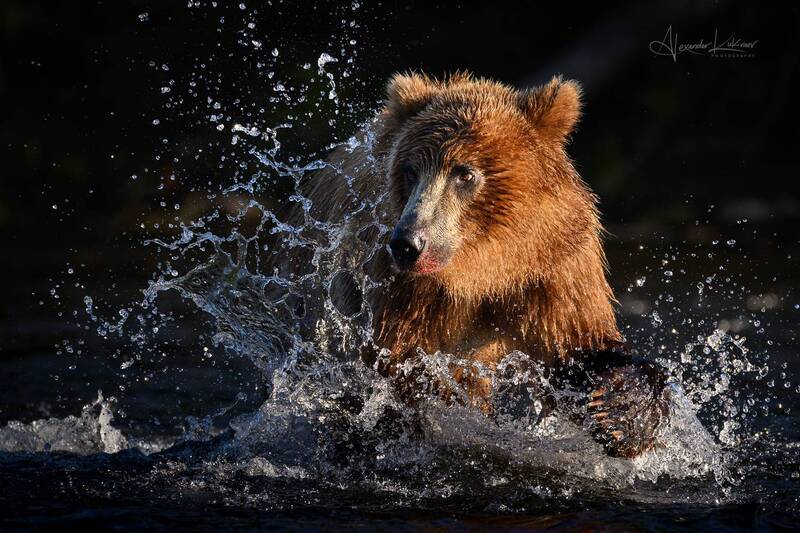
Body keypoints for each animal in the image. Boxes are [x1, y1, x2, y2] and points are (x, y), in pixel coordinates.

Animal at [293, 72, 670, 458]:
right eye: (410, 171)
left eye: (465, 173)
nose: (408, 244)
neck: (485, 267)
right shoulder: (400, 287)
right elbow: (400, 367)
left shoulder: (553, 266)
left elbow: (580, 346)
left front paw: (622, 409)